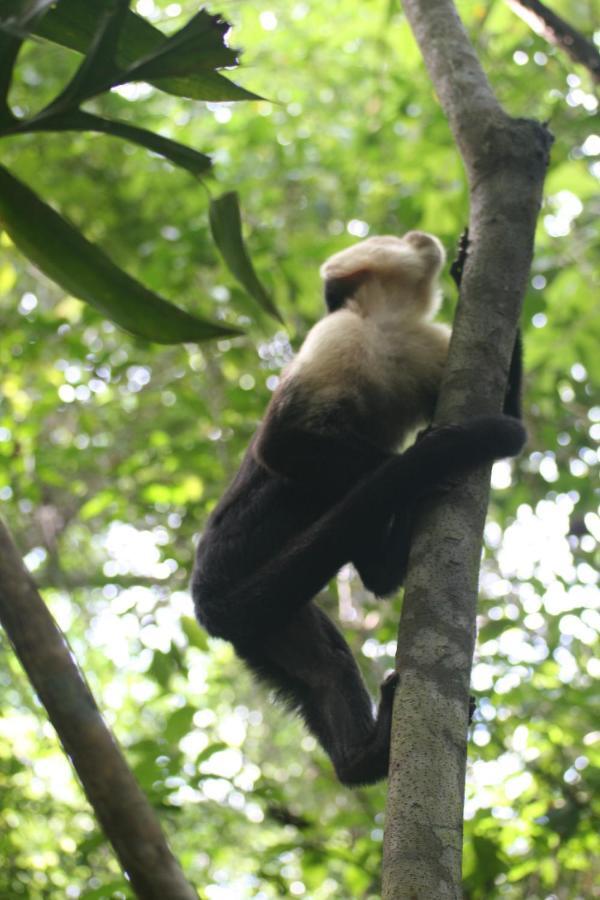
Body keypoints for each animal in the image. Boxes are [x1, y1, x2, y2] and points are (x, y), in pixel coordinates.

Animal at [192, 232, 524, 788]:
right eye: (393, 240)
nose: (419, 238)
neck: (388, 322)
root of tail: (205, 598)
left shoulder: (429, 347)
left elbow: (508, 412)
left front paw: (466, 270)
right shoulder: (336, 334)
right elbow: (282, 443)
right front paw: (428, 452)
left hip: (269, 625)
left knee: (323, 664)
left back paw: (363, 755)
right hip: (235, 547)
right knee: (310, 484)